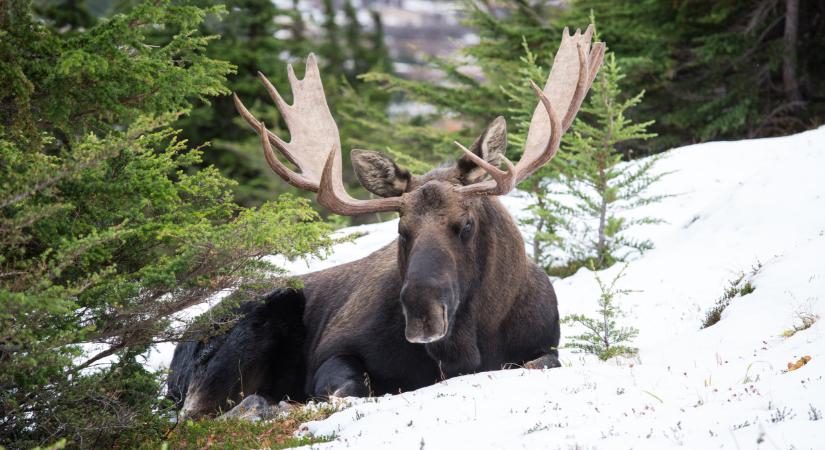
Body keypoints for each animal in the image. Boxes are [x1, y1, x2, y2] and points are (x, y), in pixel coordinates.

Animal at [169, 26, 604, 416]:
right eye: (401, 229)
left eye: (466, 224)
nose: (422, 312)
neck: (467, 347)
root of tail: (178, 351)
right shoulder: (334, 351)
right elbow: (349, 387)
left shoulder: (546, 346)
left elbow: (540, 362)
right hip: (255, 321)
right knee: (200, 411)